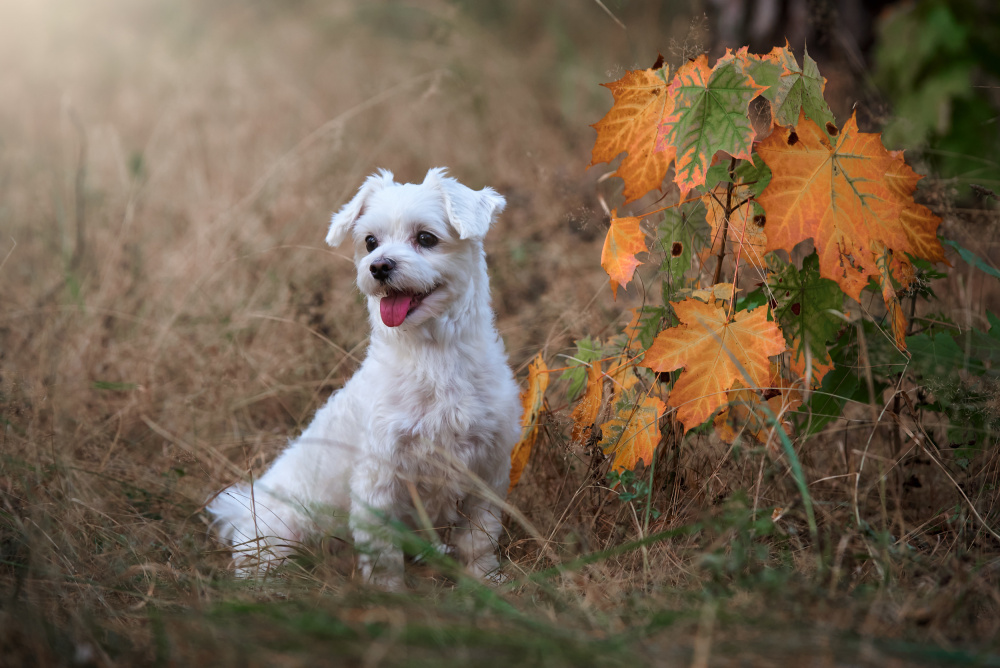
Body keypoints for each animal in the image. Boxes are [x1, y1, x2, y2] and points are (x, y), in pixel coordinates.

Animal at [209, 170, 524, 588]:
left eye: (426, 238)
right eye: (370, 242)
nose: (379, 266)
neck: (433, 358)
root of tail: (246, 511)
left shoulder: (487, 470)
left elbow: (480, 538)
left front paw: (485, 583)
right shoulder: (378, 483)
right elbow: (384, 558)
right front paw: (389, 596)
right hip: (280, 533)